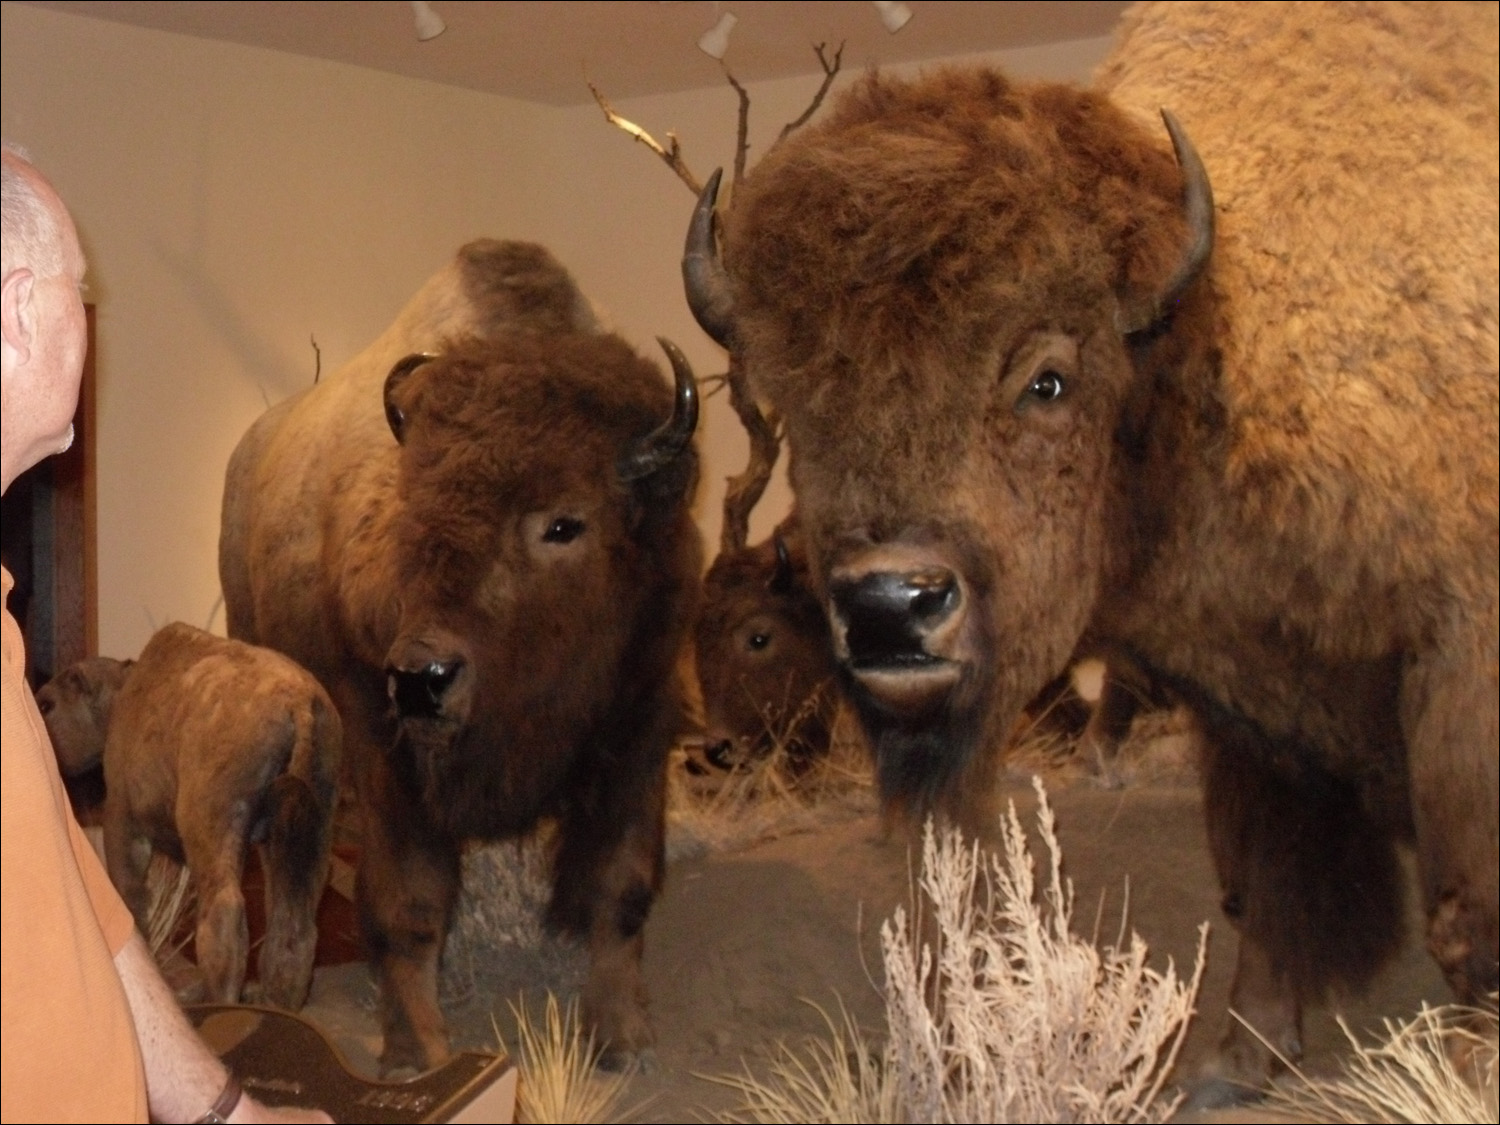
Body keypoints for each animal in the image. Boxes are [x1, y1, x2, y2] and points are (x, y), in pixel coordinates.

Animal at [35, 627, 343, 1014]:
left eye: (48, 704)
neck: (123, 694)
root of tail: (300, 704)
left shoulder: (122, 820)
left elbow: (132, 899)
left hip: (213, 830)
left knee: (225, 917)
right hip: (300, 839)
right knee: (293, 928)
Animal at [219, 240, 699, 1074]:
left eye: (564, 522)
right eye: (412, 507)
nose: (421, 679)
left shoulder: (641, 724)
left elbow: (622, 884)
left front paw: (624, 1035)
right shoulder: (387, 754)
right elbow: (406, 903)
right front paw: (418, 1050)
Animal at [687, 0, 1500, 1092]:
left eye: (1049, 379)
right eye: (804, 402)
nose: (890, 606)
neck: (1216, 332)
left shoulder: (1459, 667)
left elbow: (1463, 910)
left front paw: (1465, 1069)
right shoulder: (1249, 711)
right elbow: (1265, 880)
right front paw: (1235, 1063)